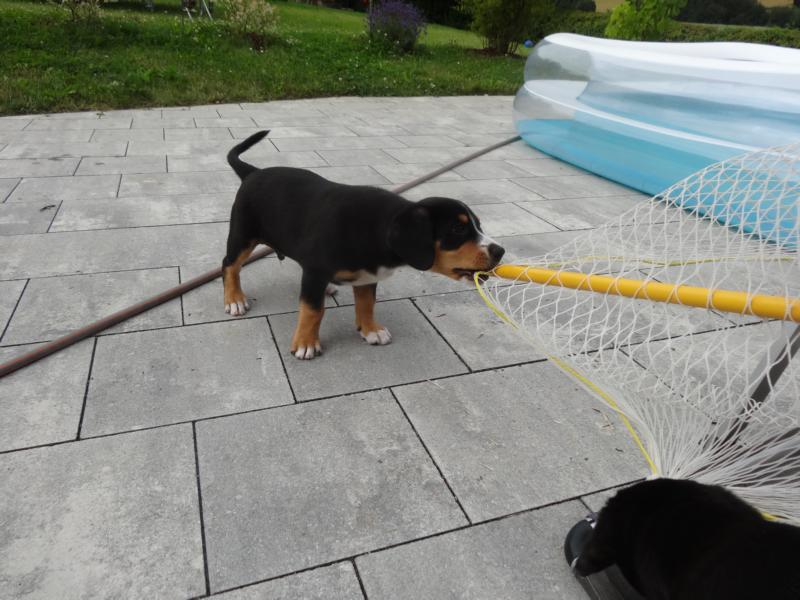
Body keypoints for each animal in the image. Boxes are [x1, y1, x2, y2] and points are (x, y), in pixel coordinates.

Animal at [223, 131, 505, 359]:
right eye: (458, 229)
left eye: (478, 226)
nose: (500, 251)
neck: (376, 229)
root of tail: (253, 172)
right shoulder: (316, 270)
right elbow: (313, 310)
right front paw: (305, 343)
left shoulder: (367, 276)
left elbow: (367, 303)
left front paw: (371, 330)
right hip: (243, 234)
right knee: (230, 265)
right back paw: (234, 299)